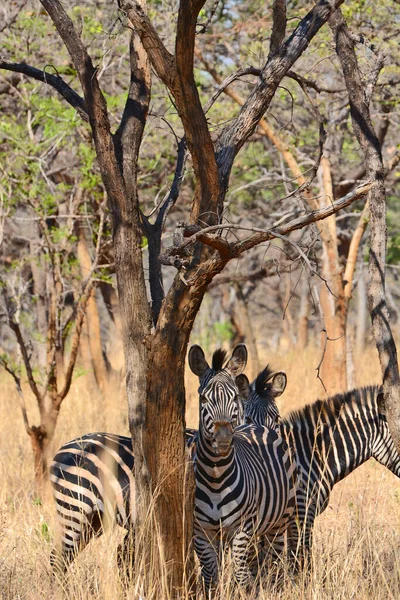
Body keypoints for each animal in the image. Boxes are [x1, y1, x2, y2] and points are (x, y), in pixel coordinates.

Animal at [48, 342, 250, 572]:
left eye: (235, 398)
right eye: (204, 399)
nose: (223, 438)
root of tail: (63, 448)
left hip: (93, 519)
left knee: (66, 557)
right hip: (74, 509)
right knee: (57, 558)